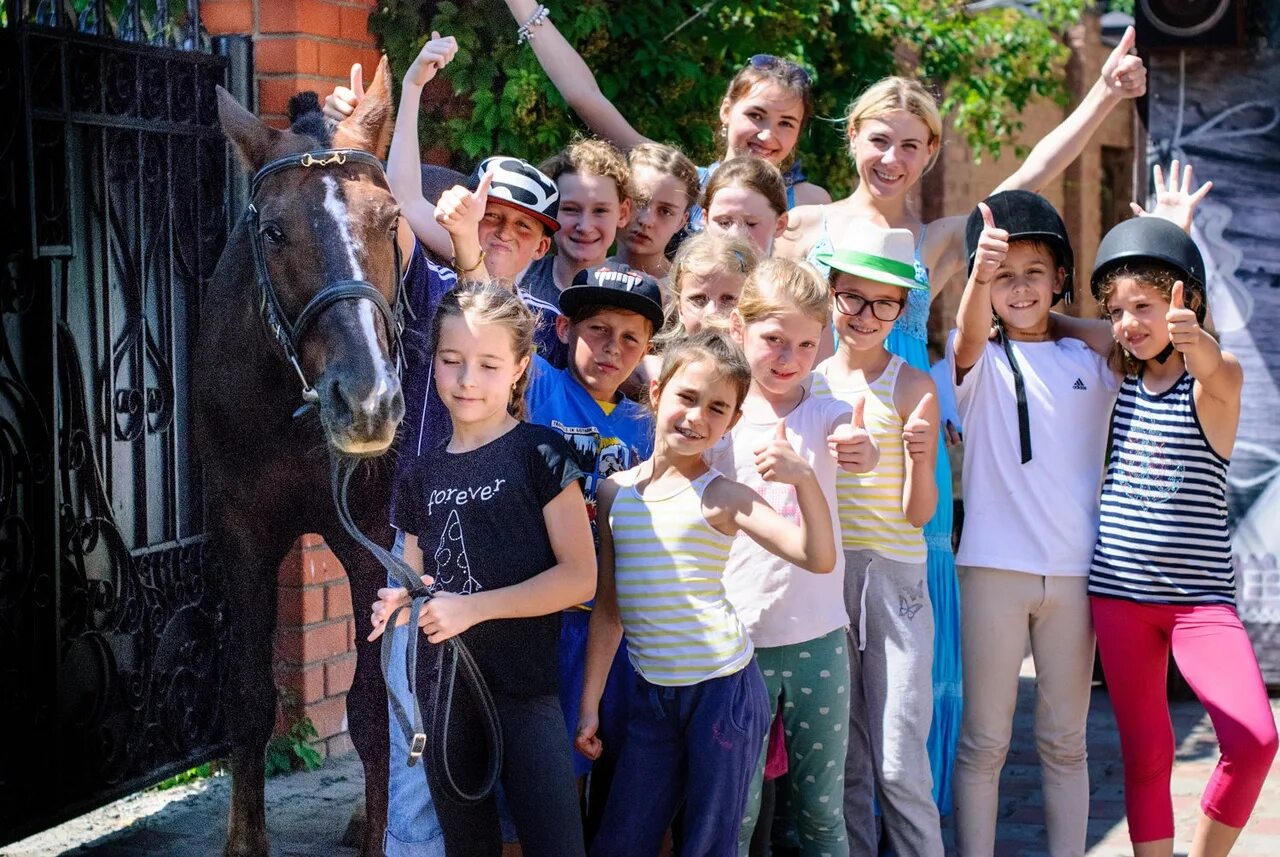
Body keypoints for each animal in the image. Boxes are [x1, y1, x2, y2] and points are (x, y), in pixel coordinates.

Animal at [190, 56, 404, 854]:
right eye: (275, 230)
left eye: (390, 220)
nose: (366, 398)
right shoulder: (240, 532)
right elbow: (249, 696)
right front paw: (244, 837)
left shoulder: (372, 538)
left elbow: (371, 711)